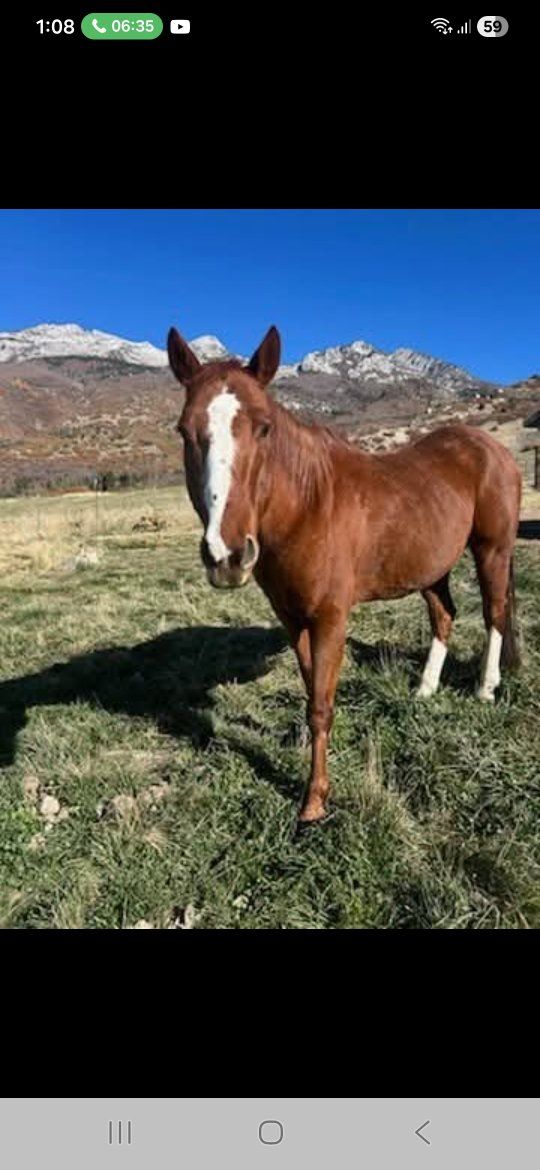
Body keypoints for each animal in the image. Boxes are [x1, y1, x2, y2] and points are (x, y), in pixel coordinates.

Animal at [167, 324, 522, 828]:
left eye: (263, 427)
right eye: (184, 430)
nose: (227, 555)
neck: (307, 505)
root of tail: (492, 449)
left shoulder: (330, 619)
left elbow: (320, 705)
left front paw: (314, 801)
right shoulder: (294, 620)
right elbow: (312, 693)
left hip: (492, 550)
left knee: (494, 612)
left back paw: (485, 689)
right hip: (432, 566)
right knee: (445, 615)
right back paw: (425, 689)